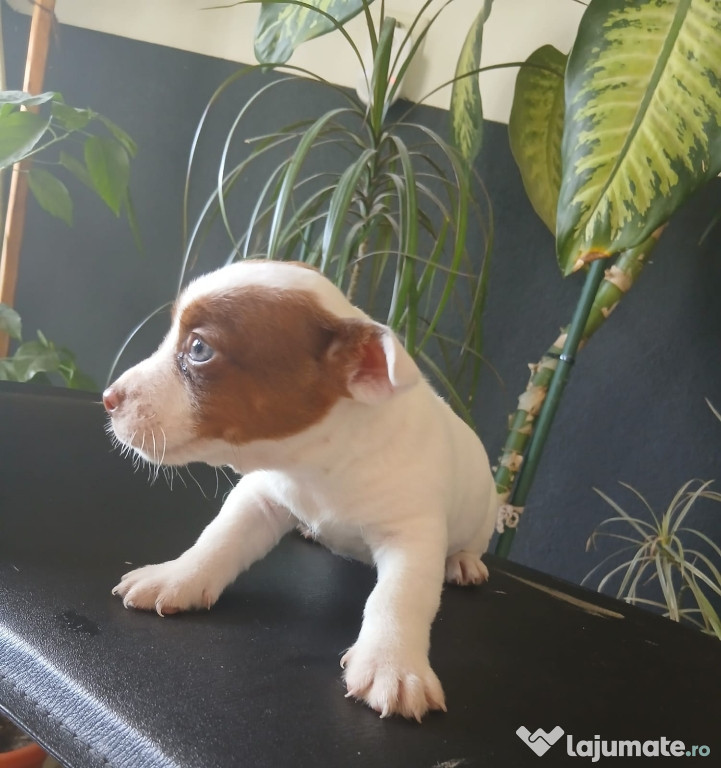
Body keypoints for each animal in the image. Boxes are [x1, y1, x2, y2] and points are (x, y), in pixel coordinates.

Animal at [104, 259, 497, 721]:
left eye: (198, 349)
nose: (108, 398)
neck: (315, 467)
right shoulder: (259, 498)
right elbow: (217, 541)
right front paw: (176, 576)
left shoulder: (412, 536)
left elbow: (399, 597)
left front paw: (392, 664)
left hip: (484, 515)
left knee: (469, 546)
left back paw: (465, 563)